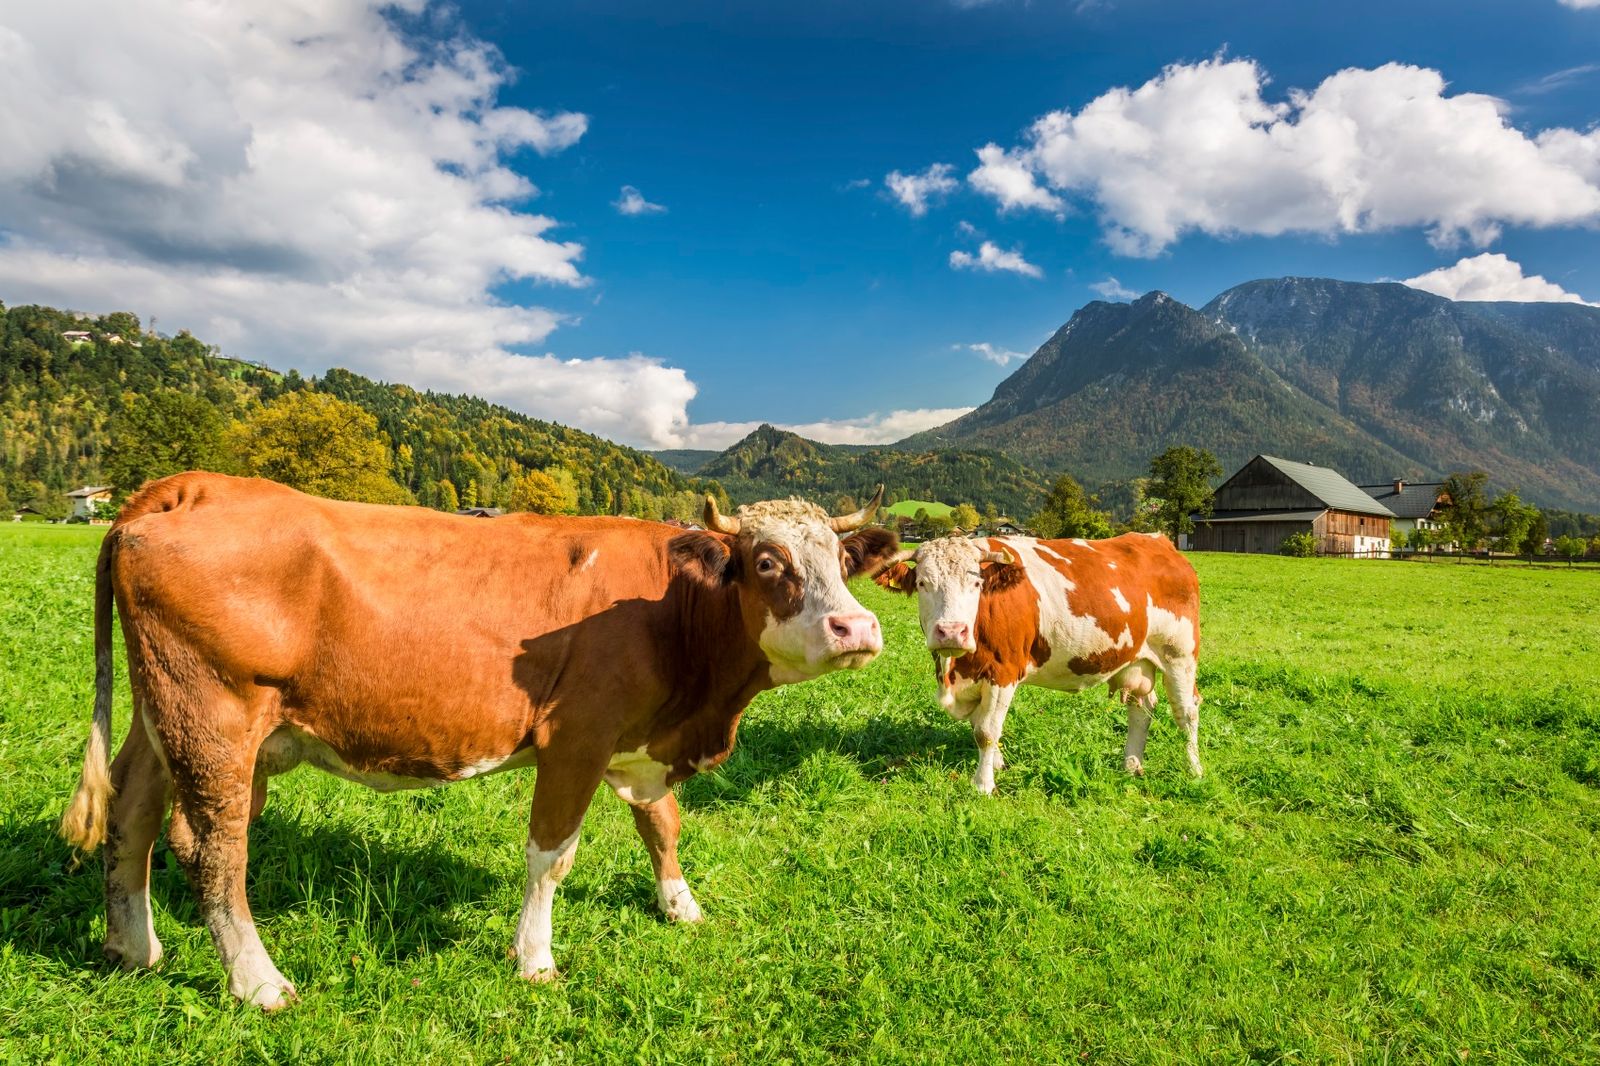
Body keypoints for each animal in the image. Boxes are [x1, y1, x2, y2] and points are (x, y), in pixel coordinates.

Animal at [59, 473, 902, 1005]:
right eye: (767, 561)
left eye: (841, 559)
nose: (858, 627)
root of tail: (192, 485)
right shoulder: (577, 736)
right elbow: (551, 857)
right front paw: (534, 959)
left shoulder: (639, 742)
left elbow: (661, 824)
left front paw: (680, 907)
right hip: (215, 719)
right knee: (212, 849)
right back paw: (258, 984)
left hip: (161, 715)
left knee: (130, 814)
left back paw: (133, 947)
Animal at [876, 531, 1203, 787]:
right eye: (922, 583)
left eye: (976, 584)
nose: (951, 631)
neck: (954, 670)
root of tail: (1159, 541)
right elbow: (979, 724)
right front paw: (996, 766)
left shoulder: (1003, 671)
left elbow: (985, 731)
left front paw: (983, 784)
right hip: (1138, 660)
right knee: (1141, 709)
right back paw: (1131, 765)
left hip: (1179, 654)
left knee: (1187, 712)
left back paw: (1195, 770)